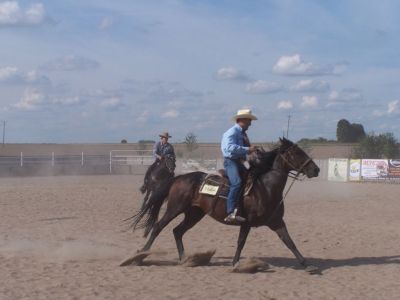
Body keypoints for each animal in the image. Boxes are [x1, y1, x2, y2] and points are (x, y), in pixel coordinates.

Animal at [130, 138, 320, 270]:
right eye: (296, 153)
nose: (316, 169)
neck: (264, 188)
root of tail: (178, 178)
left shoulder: (277, 222)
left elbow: (289, 242)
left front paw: (306, 264)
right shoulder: (246, 222)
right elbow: (241, 242)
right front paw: (235, 264)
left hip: (194, 214)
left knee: (177, 231)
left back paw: (185, 260)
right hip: (174, 208)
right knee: (158, 227)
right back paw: (140, 255)